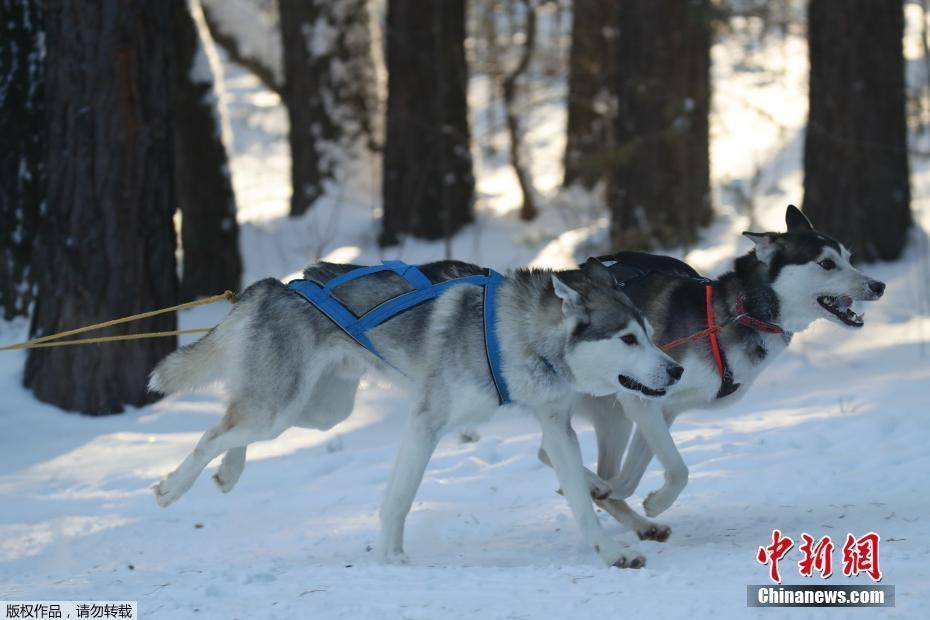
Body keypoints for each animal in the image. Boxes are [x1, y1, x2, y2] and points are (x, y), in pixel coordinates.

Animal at [150, 256, 680, 568]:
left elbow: (581, 501)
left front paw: (610, 550)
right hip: (279, 409)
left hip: (320, 410)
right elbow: (400, 498)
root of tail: (272, 286)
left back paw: (229, 471)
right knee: (214, 433)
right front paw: (390, 558)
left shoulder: (556, 426)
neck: (512, 334)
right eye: (627, 339)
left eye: (649, 333)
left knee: (230, 426)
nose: (674, 370)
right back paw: (173, 486)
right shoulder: (427, 422)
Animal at [540, 205, 888, 544]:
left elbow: (629, 479)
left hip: (613, 416)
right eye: (827, 263)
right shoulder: (640, 400)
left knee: (559, 455)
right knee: (547, 451)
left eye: (849, 258)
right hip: (610, 410)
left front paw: (628, 496)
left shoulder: (663, 409)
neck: (741, 313)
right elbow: (678, 471)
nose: (878, 286)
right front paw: (645, 500)